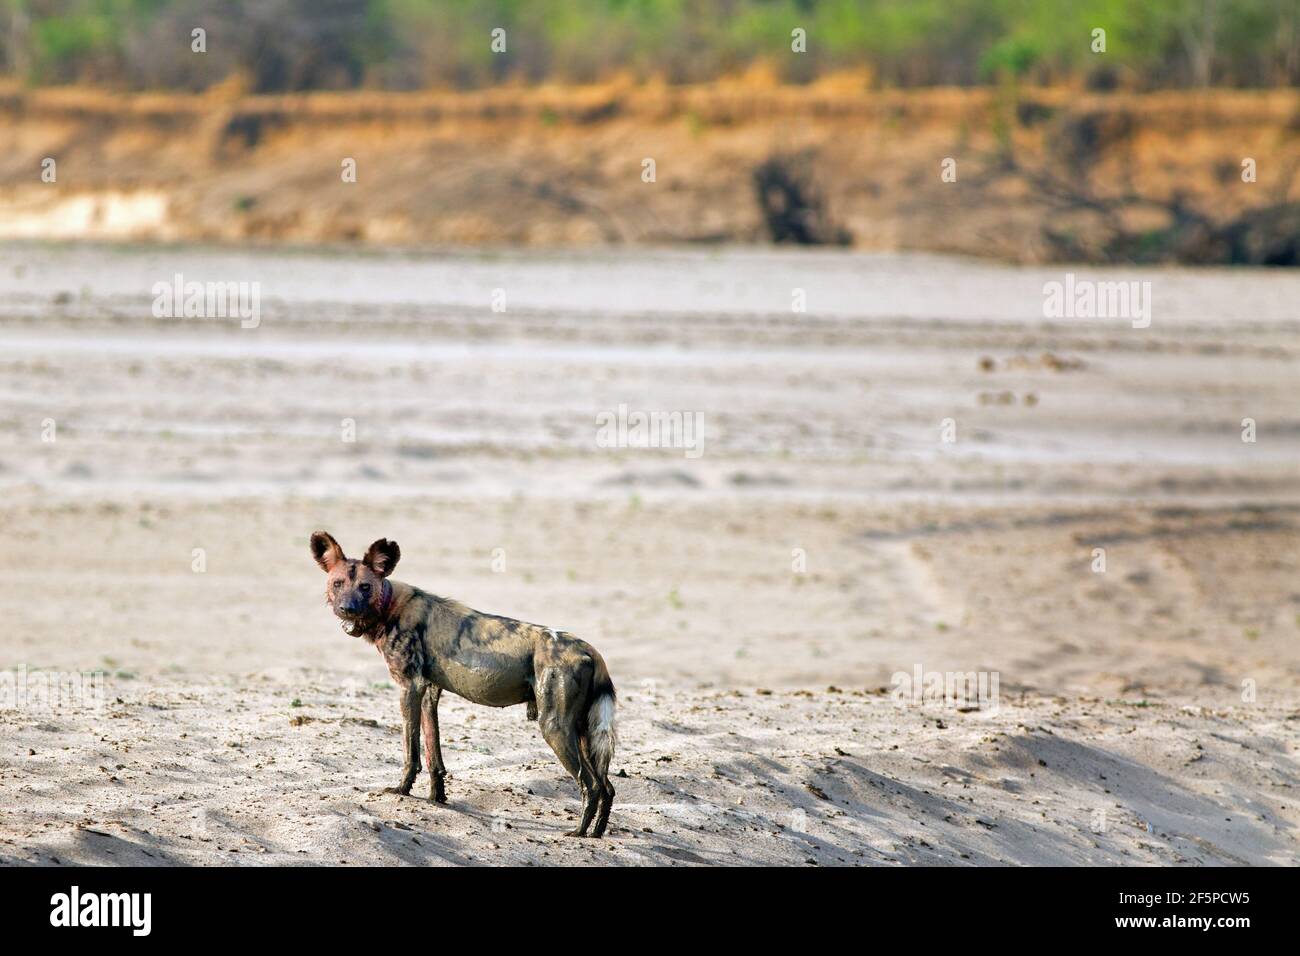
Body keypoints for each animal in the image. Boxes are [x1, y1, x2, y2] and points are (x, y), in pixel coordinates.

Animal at [313, 530, 618, 837]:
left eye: (365, 587)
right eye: (338, 584)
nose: (347, 608)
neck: (388, 608)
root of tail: (591, 650)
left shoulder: (409, 687)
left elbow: (410, 752)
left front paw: (402, 790)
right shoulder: (429, 692)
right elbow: (433, 756)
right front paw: (436, 799)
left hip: (554, 726)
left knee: (590, 784)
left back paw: (578, 833)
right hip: (581, 731)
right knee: (607, 787)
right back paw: (596, 834)